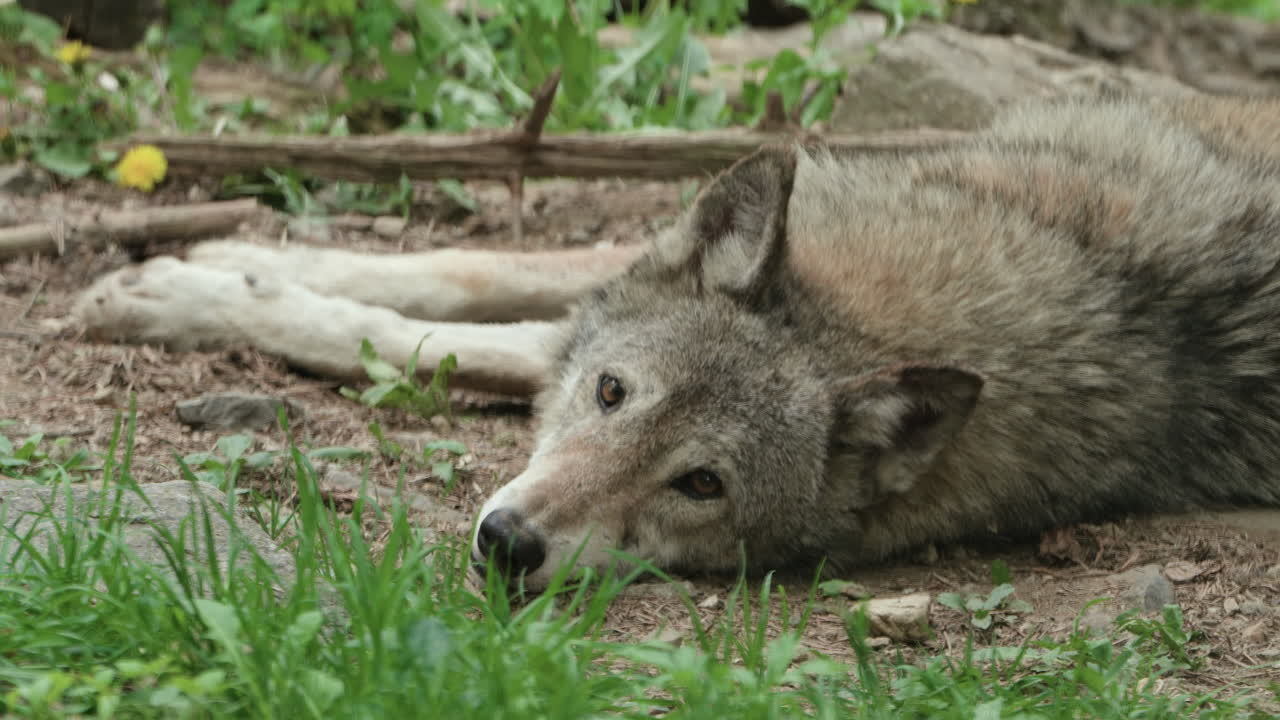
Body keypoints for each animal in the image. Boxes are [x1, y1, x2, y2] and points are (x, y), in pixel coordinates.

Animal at [73, 94, 1280, 591]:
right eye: (612, 393)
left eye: (700, 484)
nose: (508, 542)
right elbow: (465, 278)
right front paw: (195, 275)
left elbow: (436, 347)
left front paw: (213, 289)